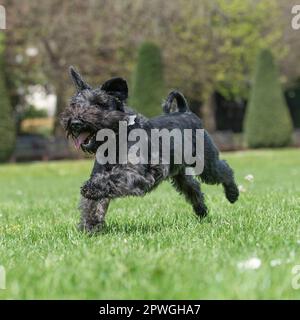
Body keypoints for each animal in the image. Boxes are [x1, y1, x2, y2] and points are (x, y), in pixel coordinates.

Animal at [61, 67, 239, 232]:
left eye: (99, 104)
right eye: (74, 105)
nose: (75, 122)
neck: (116, 139)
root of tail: (186, 111)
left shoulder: (137, 175)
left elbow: (112, 179)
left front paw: (89, 189)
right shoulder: (100, 174)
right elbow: (93, 205)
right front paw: (89, 228)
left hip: (207, 164)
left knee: (225, 170)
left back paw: (233, 194)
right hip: (180, 174)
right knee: (193, 187)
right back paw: (201, 211)